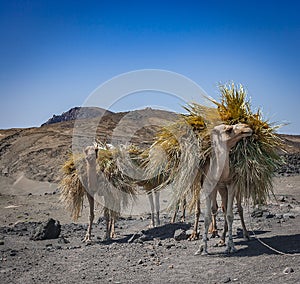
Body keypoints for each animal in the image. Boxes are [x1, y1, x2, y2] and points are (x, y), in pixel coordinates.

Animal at [195, 122, 253, 255]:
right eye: (229, 129)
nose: (247, 127)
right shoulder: (208, 186)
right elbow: (207, 217)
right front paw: (203, 248)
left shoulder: (232, 184)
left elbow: (230, 216)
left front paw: (231, 246)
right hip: (221, 189)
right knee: (224, 208)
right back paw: (221, 240)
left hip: (236, 188)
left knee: (239, 209)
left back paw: (246, 235)